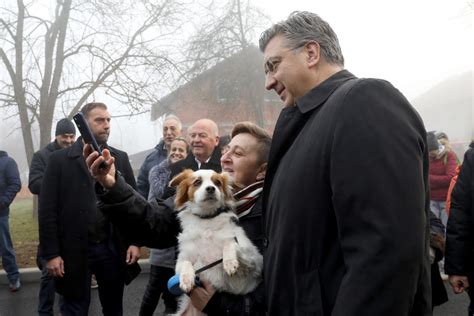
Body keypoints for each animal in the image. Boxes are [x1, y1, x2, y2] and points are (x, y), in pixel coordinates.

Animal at [169, 169, 262, 314]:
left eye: (217, 182)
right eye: (197, 182)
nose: (211, 188)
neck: (207, 220)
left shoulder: (254, 262)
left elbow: (230, 243)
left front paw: (229, 262)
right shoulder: (181, 260)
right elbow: (185, 263)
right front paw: (186, 279)